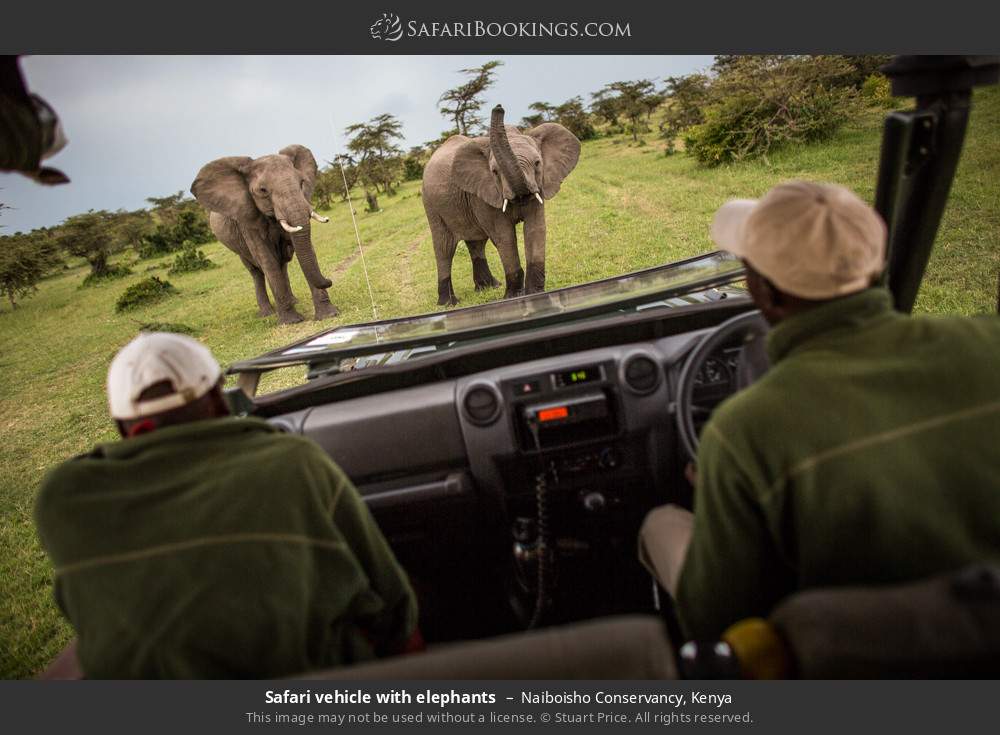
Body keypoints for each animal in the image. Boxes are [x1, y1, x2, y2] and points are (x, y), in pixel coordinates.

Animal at [191, 145, 340, 324]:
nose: (329, 280)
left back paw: (293, 301)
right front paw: (291, 322)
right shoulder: (246, 220)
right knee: (256, 271)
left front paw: (329, 314)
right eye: (263, 191)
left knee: (282, 263)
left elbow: (307, 248)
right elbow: (267, 260)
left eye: (302, 182)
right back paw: (267, 313)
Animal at [420, 103, 580, 304]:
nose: (498, 107)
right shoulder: (483, 195)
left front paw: (535, 294)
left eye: (537, 163)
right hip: (431, 205)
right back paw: (448, 303)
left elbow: (535, 229)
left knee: (476, 243)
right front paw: (514, 296)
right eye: (495, 171)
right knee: (444, 248)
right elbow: (504, 236)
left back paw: (489, 287)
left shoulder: (539, 186)